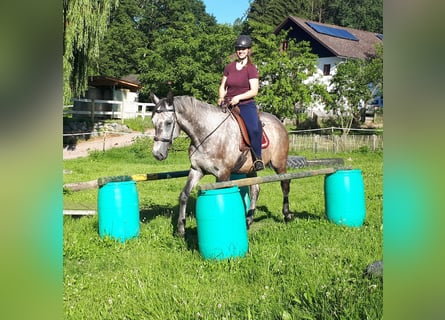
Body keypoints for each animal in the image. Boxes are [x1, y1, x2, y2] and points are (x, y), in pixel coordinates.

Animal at [151, 91, 294, 236]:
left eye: (169, 123)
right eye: (153, 121)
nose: (157, 154)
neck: (206, 135)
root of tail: (278, 122)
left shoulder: (223, 174)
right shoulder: (197, 170)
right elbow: (184, 195)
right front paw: (180, 229)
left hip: (279, 164)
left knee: (285, 184)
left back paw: (287, 215)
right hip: (251, 169)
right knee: (255, 190)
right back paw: (248, 220)